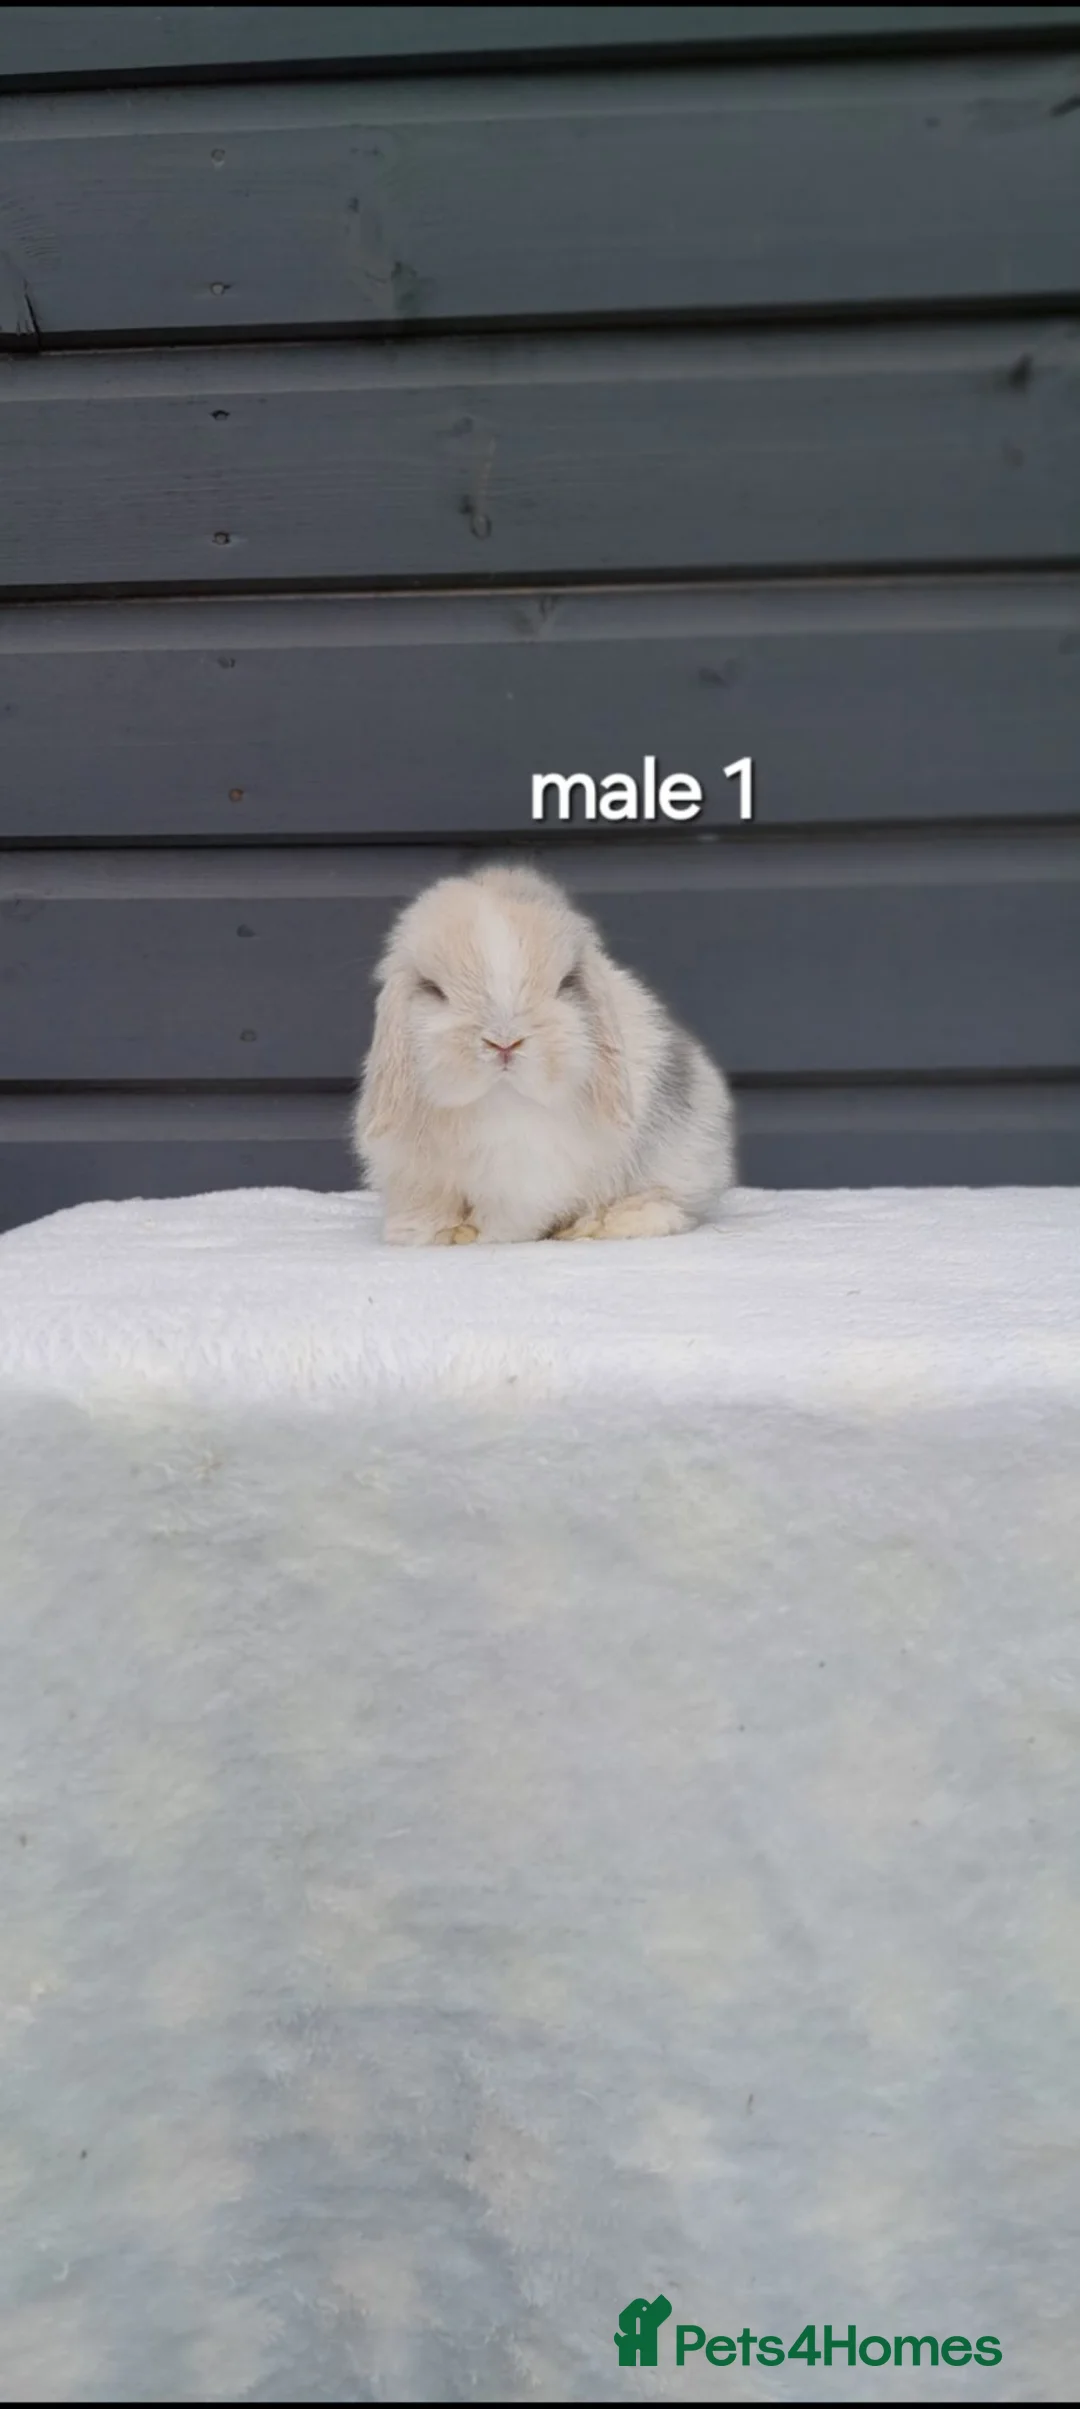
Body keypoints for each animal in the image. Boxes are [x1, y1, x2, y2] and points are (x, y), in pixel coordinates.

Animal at [352, 863, 735, 1244]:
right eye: (433, 989)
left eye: (565, 983)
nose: (504, 1042)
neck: (500, 1105)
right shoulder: (416, 1177)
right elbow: (428, 1210)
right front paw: (420, 1233)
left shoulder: (526, 1182)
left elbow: (506, 1219)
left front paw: (479, 1236)